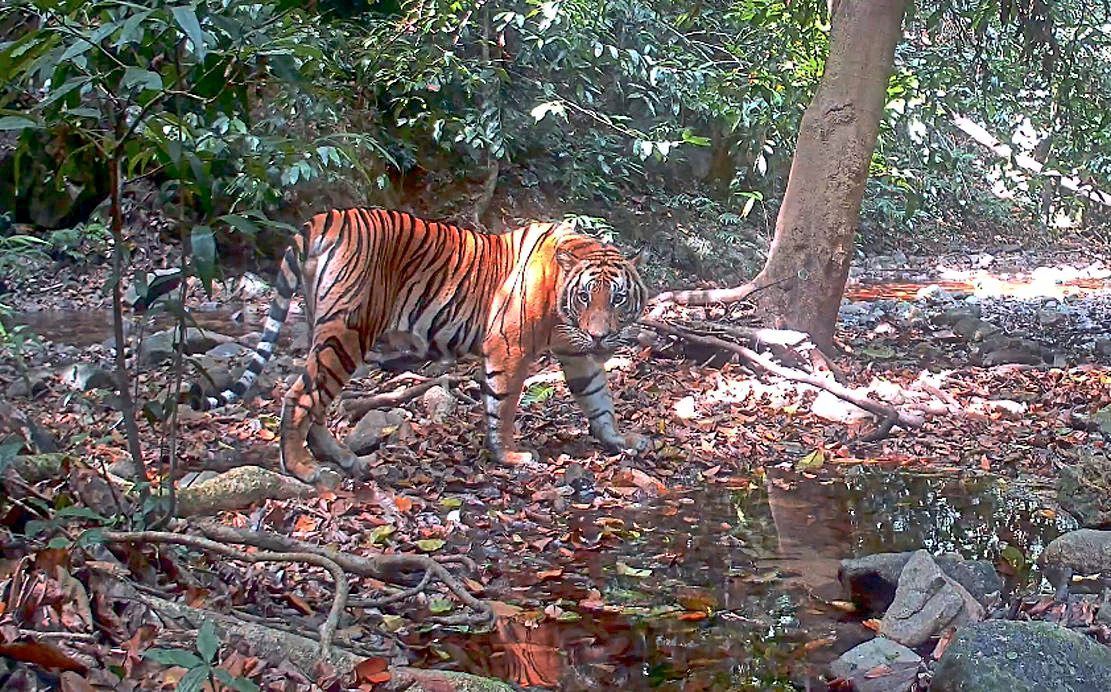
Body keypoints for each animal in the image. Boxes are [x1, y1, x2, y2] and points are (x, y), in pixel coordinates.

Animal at [191, 208, 649, 484]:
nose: (600, 336)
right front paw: (509, 456)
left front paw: (620, 440)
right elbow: (502, 405)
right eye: (586, 296)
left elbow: (598, 400)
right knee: (300, 395)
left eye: (617, 299)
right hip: (347, 332)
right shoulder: (509, 348)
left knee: (315, 398)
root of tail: (329, 216)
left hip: (326, 334)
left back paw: (345, 460)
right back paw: (303, 468)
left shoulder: (577, 354)